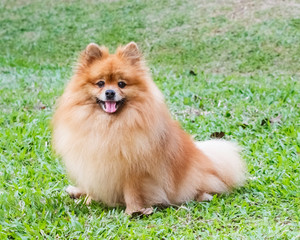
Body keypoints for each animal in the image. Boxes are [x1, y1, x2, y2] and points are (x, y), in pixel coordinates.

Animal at [52, 42, 246, 215]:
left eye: (121, 84)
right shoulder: (93, 163)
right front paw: (88, 202)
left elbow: (132, 192)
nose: (110, 92)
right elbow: (93, 187)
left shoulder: (133, 170)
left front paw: (133, 211)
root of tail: (206, 157)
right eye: (100, 83)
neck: (109, 125)